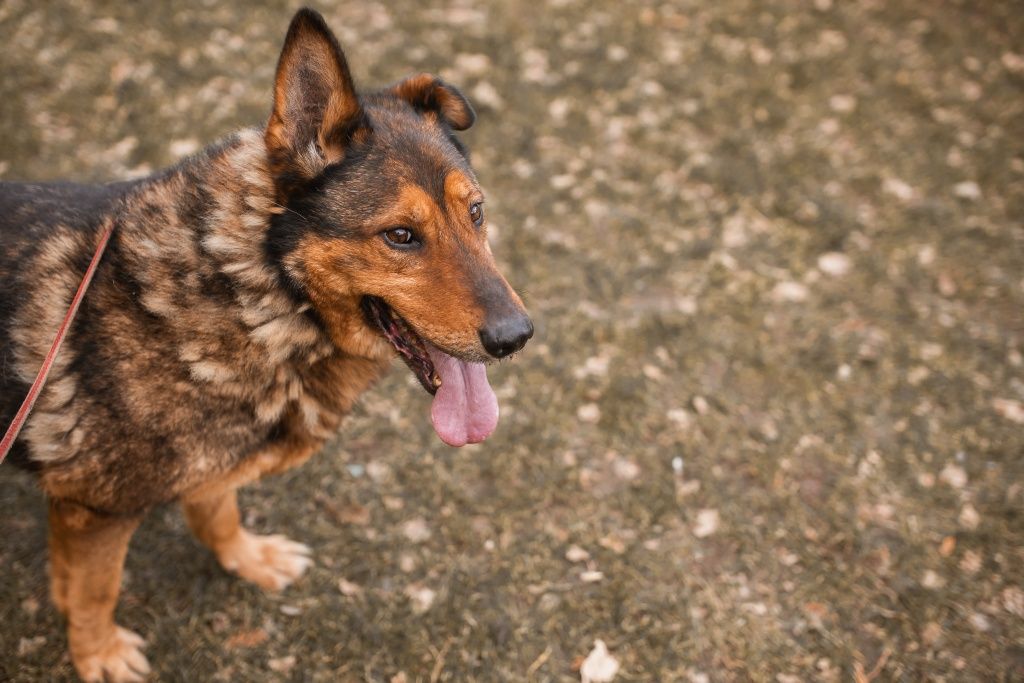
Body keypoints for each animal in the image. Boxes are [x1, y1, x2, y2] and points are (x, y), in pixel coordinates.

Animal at [0, 7, 528, 679]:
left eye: (477, 213)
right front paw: (99, 655)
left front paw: (246, 556)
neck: (256, 293)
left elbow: (217, 507)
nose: (517, 337)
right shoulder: (94, 510)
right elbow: (95, 590)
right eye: (401, 236)